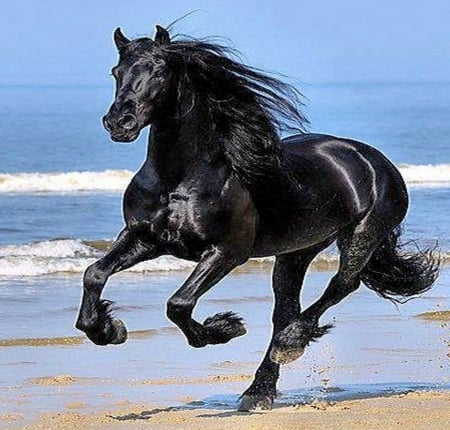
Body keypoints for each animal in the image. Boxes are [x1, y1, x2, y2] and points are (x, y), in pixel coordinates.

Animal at [75, 25, 438, 412]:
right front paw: (108, 330)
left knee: (342, 285)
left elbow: (179, 304)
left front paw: (225, 328)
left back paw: (290, 345)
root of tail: (372, 159)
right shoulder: (144, 238)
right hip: (297, 251)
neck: (180, 180)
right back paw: (259, 389)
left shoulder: (226, 252)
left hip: (362, 235)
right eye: (116, 72)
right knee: (286, 309)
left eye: (158, 71)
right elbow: (95, 273)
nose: (119, 123)